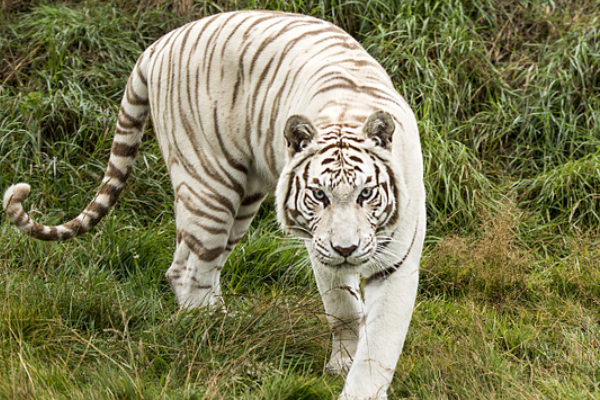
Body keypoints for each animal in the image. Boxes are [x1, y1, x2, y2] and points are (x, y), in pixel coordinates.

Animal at [3, 10, 426, 398]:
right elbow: (344, 309)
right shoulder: (320, 247)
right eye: (319, 195)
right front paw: (342, 364)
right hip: (211, 187)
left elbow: (379, 342)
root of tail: (160, 43)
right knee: (194, 271)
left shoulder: (396, 263)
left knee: (185, 264)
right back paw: (208, 337)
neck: (348, 112)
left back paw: (221, 320)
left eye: (366, 194)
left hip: (243, 198)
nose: (346, 248)